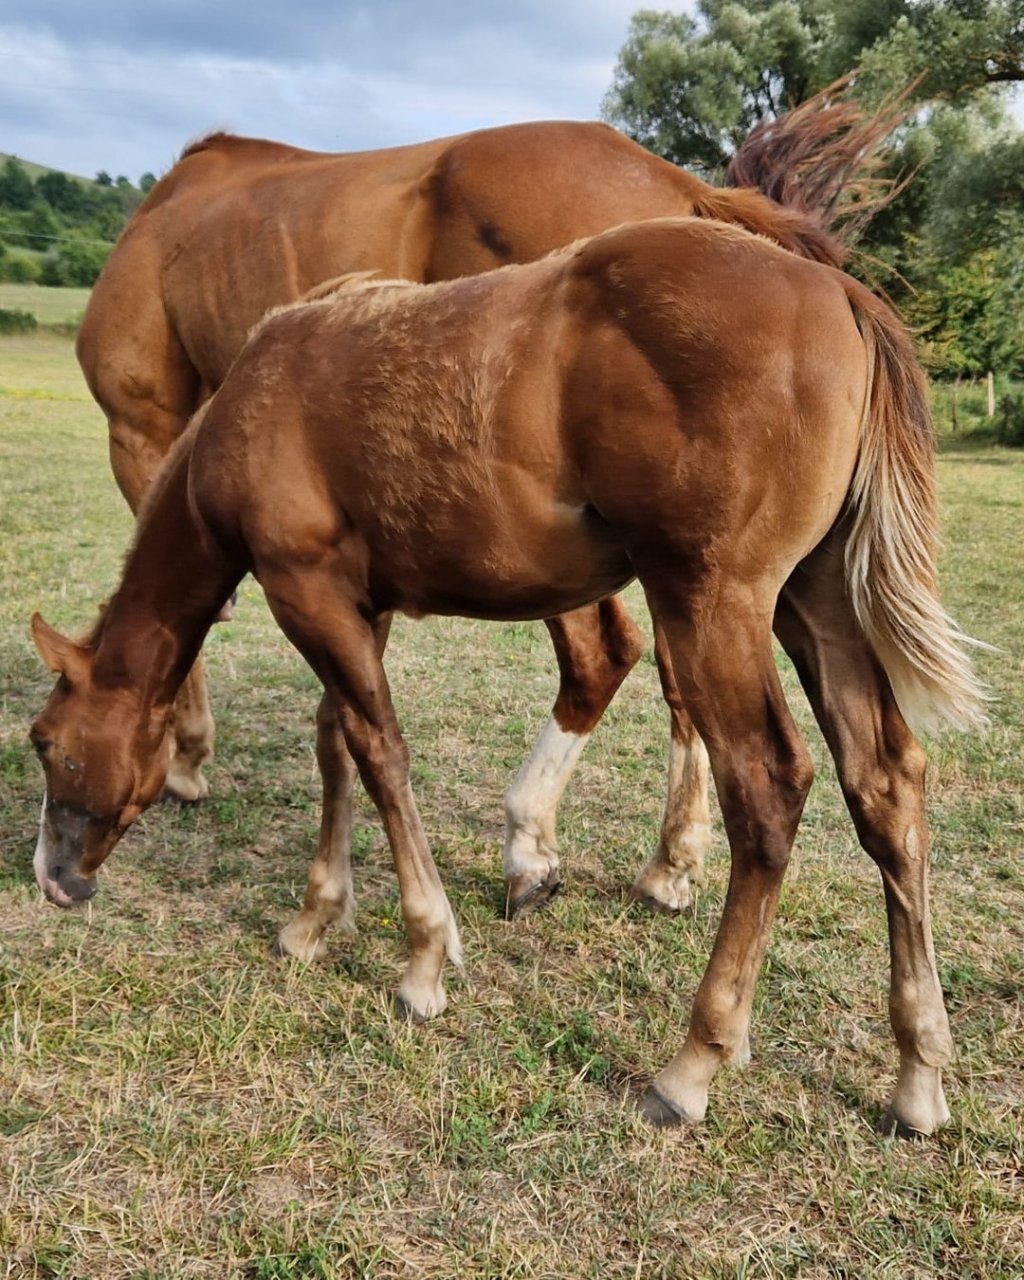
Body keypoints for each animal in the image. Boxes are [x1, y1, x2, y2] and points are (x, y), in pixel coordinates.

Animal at [32, 217, 984, 1135]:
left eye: (44, 744)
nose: (52, 879)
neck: (255, 397)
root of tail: (840, 293)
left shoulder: (305, 590)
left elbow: (379, 752)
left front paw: (423, 960)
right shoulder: (355, 601)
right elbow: (336, 741)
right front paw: (314, 918)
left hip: (716, 600)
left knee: (769, 787)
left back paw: (693, 1064)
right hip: (816, 599)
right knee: (885, 783)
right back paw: (918, 1075)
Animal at [77, 103, 903, 919]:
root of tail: (685, 192)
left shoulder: (142, 433)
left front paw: (185, 756)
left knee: (609, 658)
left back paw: (547, 849)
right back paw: (661, 863)